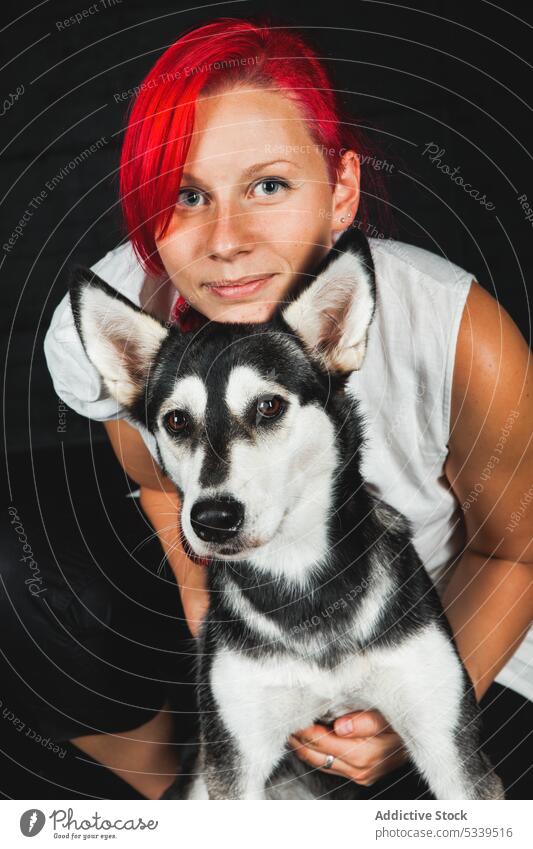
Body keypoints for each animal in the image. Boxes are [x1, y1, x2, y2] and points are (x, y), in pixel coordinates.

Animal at [69, 227, 502, 800]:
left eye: (269, 407)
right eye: (177, 421)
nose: (213, 518)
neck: (299, 581)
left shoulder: (452, 747)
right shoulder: (233, 760)